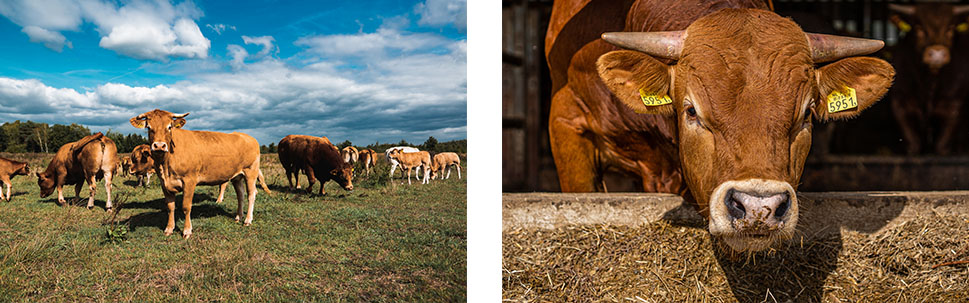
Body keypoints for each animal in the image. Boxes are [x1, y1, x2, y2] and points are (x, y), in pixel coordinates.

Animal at [129, 110, 272, 240]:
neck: (165, 165)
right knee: (240, 195)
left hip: (251, 172)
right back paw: (238, 216)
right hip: (237, 176)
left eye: (169, 127)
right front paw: (169, 229)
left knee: (251, 194)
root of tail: (248, 137)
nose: (159, 146)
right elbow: (170, 207)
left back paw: (247, 220)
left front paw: (187, 231)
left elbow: (186, 207)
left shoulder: (189, 181)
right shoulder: (164, 183)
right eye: (149, 127)